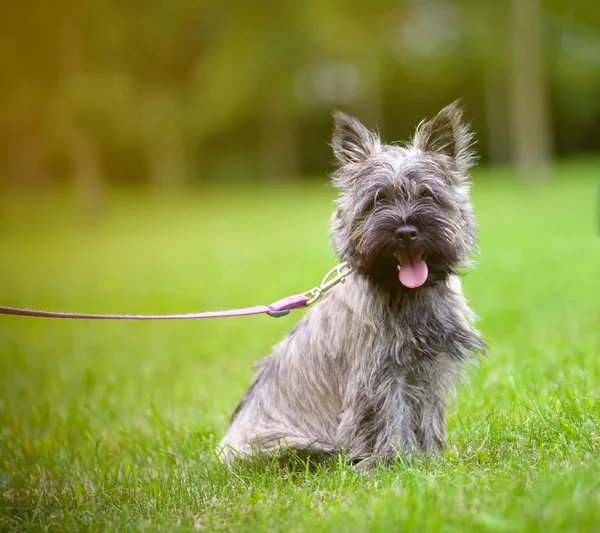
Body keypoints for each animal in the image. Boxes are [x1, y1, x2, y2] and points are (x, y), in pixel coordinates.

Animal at [218, 101, 486, 466]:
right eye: (377, 200)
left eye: (428, 195)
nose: (406, 232)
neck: (405, 293)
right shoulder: (380, 375)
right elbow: (391, 417)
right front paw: (397, 462)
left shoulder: (429, 371)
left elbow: (427, 415)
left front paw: (430, 457)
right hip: (289, 443)